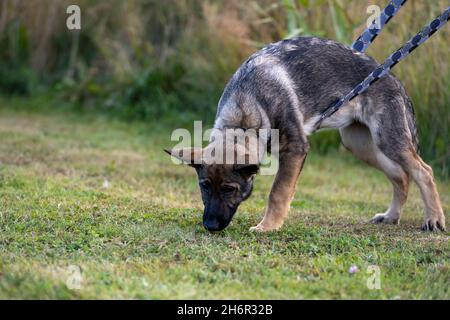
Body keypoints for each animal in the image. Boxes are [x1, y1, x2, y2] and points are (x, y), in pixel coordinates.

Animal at [166, 36, 446, 232]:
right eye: (204, 186)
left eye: (229, 189)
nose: (210, 226)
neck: (245, 111)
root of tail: (393, 79)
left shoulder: (295, 150)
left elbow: (278, 192)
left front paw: (268, 227)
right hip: (360, 144)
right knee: (401, 176)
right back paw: (391, 216)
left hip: (388, 140)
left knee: (423, 171)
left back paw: (433, 218)